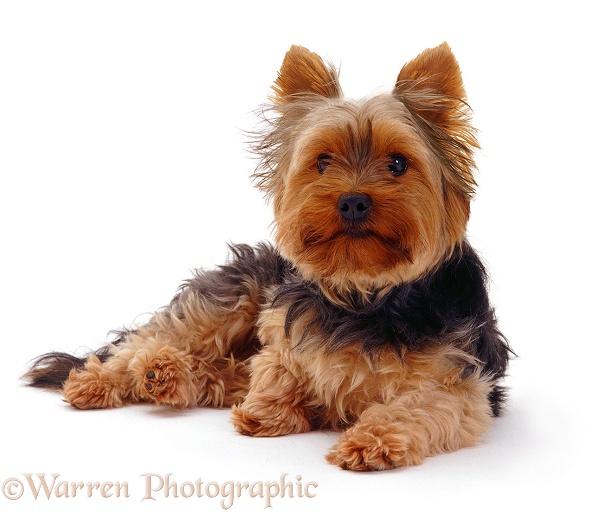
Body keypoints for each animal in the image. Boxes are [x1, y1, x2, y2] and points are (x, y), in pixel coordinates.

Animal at [24, 42, 510, 470]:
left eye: (397, 164)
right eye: (322, 161)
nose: (353, 201)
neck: (364, 292)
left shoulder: (459, 384)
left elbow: (416, 407)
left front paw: (369, 442)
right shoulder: (281, 335)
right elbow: (275, 370)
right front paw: (268, 411)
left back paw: (169, 377)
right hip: (232, 295)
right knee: (147, 343)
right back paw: (117, 376)